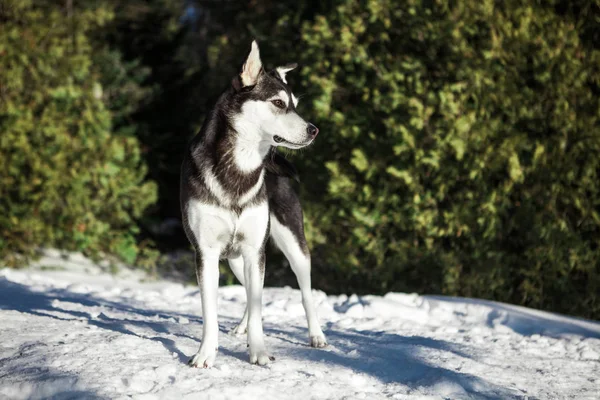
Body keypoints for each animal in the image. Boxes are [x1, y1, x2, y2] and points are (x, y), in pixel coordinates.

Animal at [179, 41, 326, 368]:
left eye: (295, 103)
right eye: (279, 103)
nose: (314, 130)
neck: (240, 168)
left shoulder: (254, 249)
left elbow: (260, 306)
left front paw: (258, 352)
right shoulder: (207, 253)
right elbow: (210, 311)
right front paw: (206, 354)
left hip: (293, 246)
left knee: (305, 294)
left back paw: (316, 335)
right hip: (235, 257)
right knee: (249, 292)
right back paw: (242, 325)